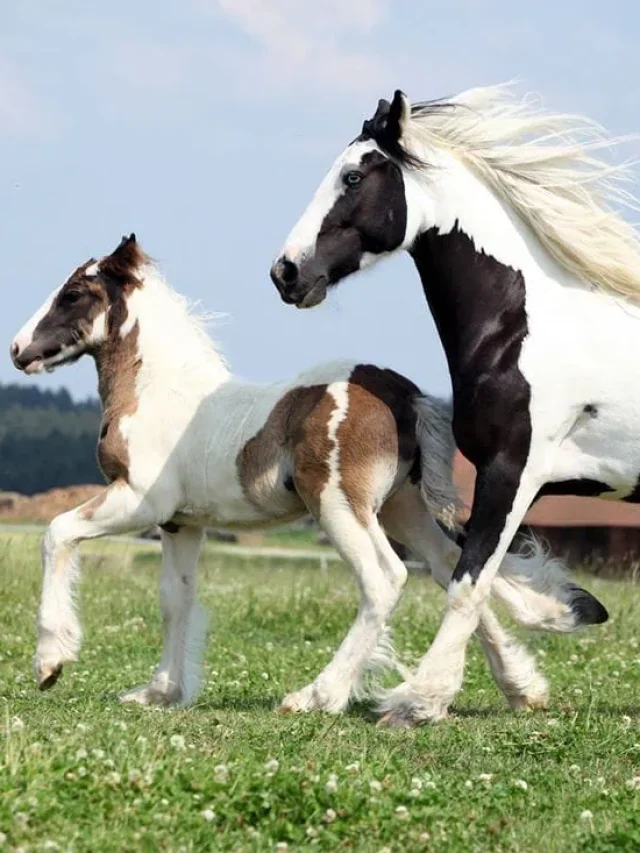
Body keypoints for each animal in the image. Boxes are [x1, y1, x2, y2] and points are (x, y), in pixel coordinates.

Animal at [10, 235, 580, 720]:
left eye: (73, 293)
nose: (18, 350)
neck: (160, 393)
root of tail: (404, 394)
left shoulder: (139, 503)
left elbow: (57, 533)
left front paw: (51, 662)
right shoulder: (181, 523)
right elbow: (176, 598)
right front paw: (159, 692)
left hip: (339, 505)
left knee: (385, 579)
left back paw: (317, 695)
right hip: (402, 506)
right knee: (452, 567)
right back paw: (517, 688)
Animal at [268, 85, 632, 724]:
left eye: (353, 176)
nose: (285, 273)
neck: (524, 330)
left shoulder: (514, 471)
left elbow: (469, 579)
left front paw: (417, 700)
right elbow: (469, 570)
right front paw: (566, 610)